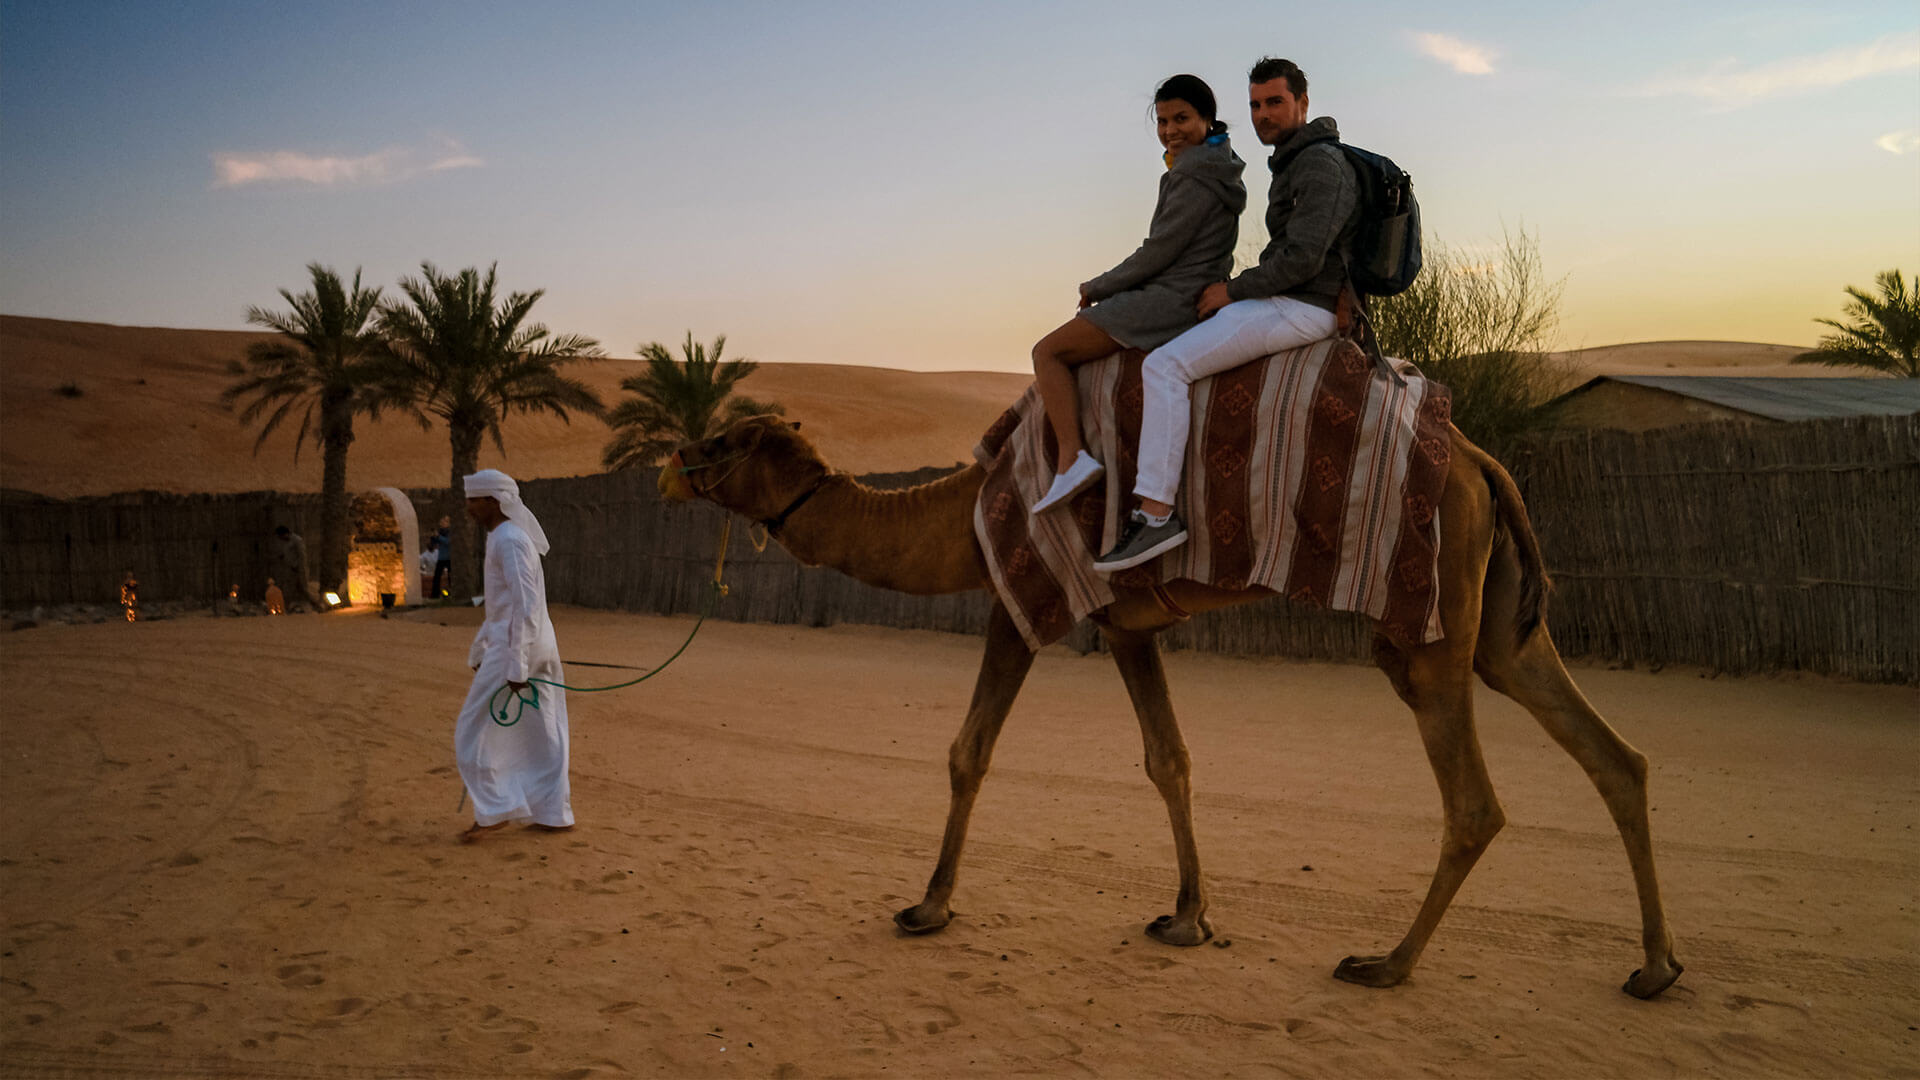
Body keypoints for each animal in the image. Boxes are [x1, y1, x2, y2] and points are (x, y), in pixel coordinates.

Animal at [656, 409, 1681, 991]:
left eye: (725, 443)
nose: (673, 461)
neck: (962, 516)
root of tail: (1480, 462)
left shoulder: (1021, 601)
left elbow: (969, 750)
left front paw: (928, 906)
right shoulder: (1127, 626)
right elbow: (1169, 759)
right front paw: (1188, 917)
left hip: (1423, 618)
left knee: (1474, 800)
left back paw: (1385, 965)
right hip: (1500, 615)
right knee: (1614, 755)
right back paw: (1655, 967)